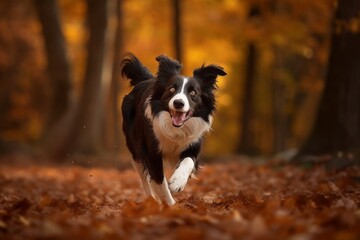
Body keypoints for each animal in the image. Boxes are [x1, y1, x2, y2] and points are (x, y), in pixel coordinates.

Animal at [122, 53, 226, 204]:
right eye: (171, 89)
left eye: (193, 93)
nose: (178, 103)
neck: (175, 129)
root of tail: (145, 80)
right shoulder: (151, 153)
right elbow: (160, 182)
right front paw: (170, 205)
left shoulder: (193, 146)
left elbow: (188, 161)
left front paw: (178, 182)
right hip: (135, 148)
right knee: (144, 178)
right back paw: (150, 199)